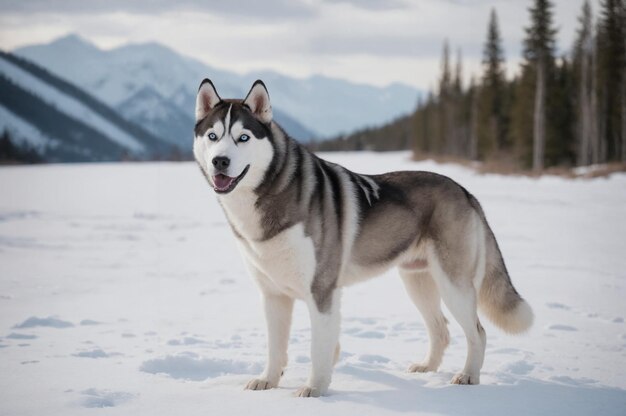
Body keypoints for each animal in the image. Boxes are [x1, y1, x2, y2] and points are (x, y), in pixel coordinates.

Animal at [191, 79, 532, 396]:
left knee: (478, 332)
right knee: (441, 330)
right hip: (417, 281)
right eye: (213, 136)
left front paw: (315, 389)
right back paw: (426, 368)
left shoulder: (322, 292)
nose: (220, 161)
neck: (268, 196)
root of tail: (465, 191)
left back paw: (468, 376)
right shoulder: (273, 295)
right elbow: (276, 347)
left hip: (453, 284)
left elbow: (318, 347)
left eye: (243, 137)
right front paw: (268, 381)